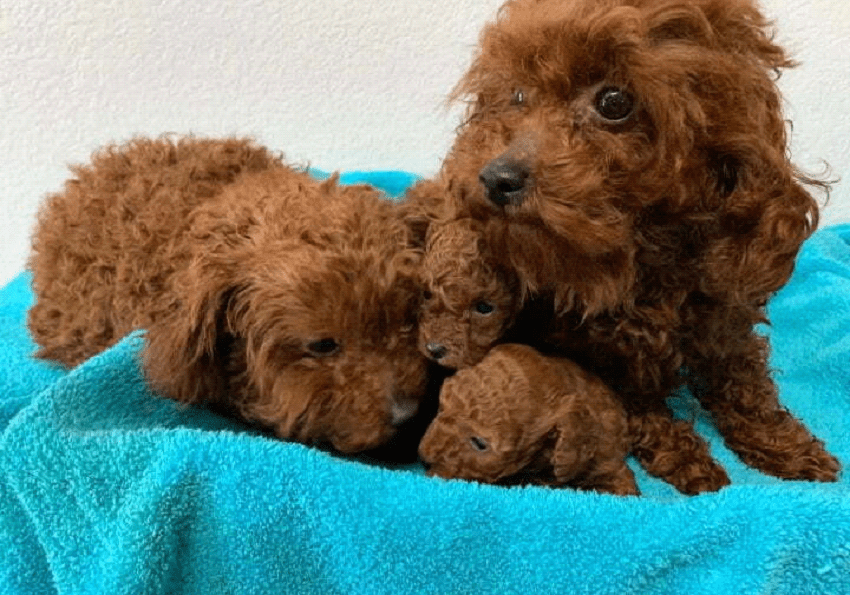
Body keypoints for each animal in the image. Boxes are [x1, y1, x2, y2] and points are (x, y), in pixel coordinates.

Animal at [438, 0, 836, 484]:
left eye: (614, 102)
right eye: (517, 96)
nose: (496, 177)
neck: (647, 252)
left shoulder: (725, 313)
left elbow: (743, 380)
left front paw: (782, 442)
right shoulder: (594, 349)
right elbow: (639, 404)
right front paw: (683, 453)